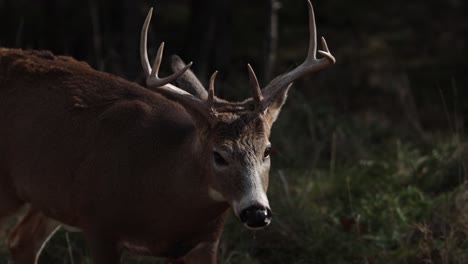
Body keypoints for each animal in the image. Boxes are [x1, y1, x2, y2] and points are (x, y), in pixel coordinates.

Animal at [0, 1, 336, 262]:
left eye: (267, 149)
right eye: (219, 155)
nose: (256, 213)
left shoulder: (205, 242)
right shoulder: (99, 225)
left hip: (48, 197)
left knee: (21, 240)